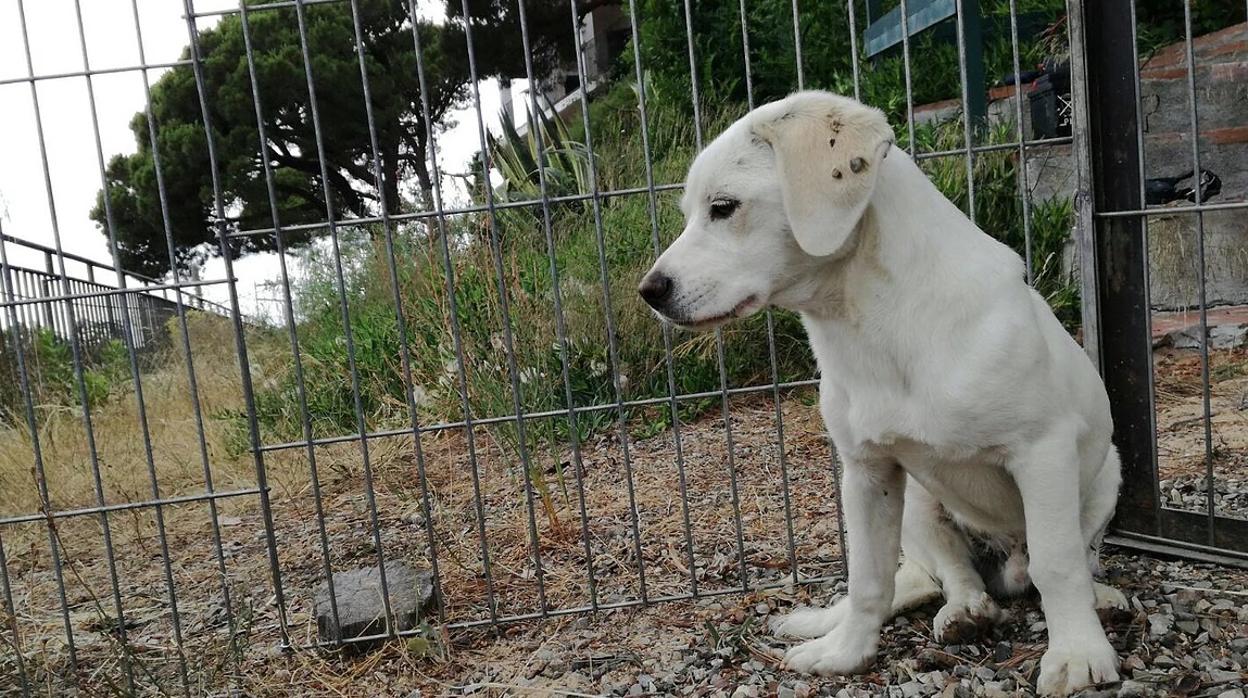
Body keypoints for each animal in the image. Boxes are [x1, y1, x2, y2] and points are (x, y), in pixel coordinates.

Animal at [643, 91, 1133, 694]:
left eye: (723, 206)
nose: (649, 292)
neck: (870, 331)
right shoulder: (867, 472)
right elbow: (868, 579)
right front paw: (848, 651)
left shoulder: (1043, 453)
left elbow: (1058, 563)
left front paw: (1077, 655)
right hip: (922, 504)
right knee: (949, 577)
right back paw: (962, 613)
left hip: (1104, 478)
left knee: (1070, 562)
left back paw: (1099, 600)